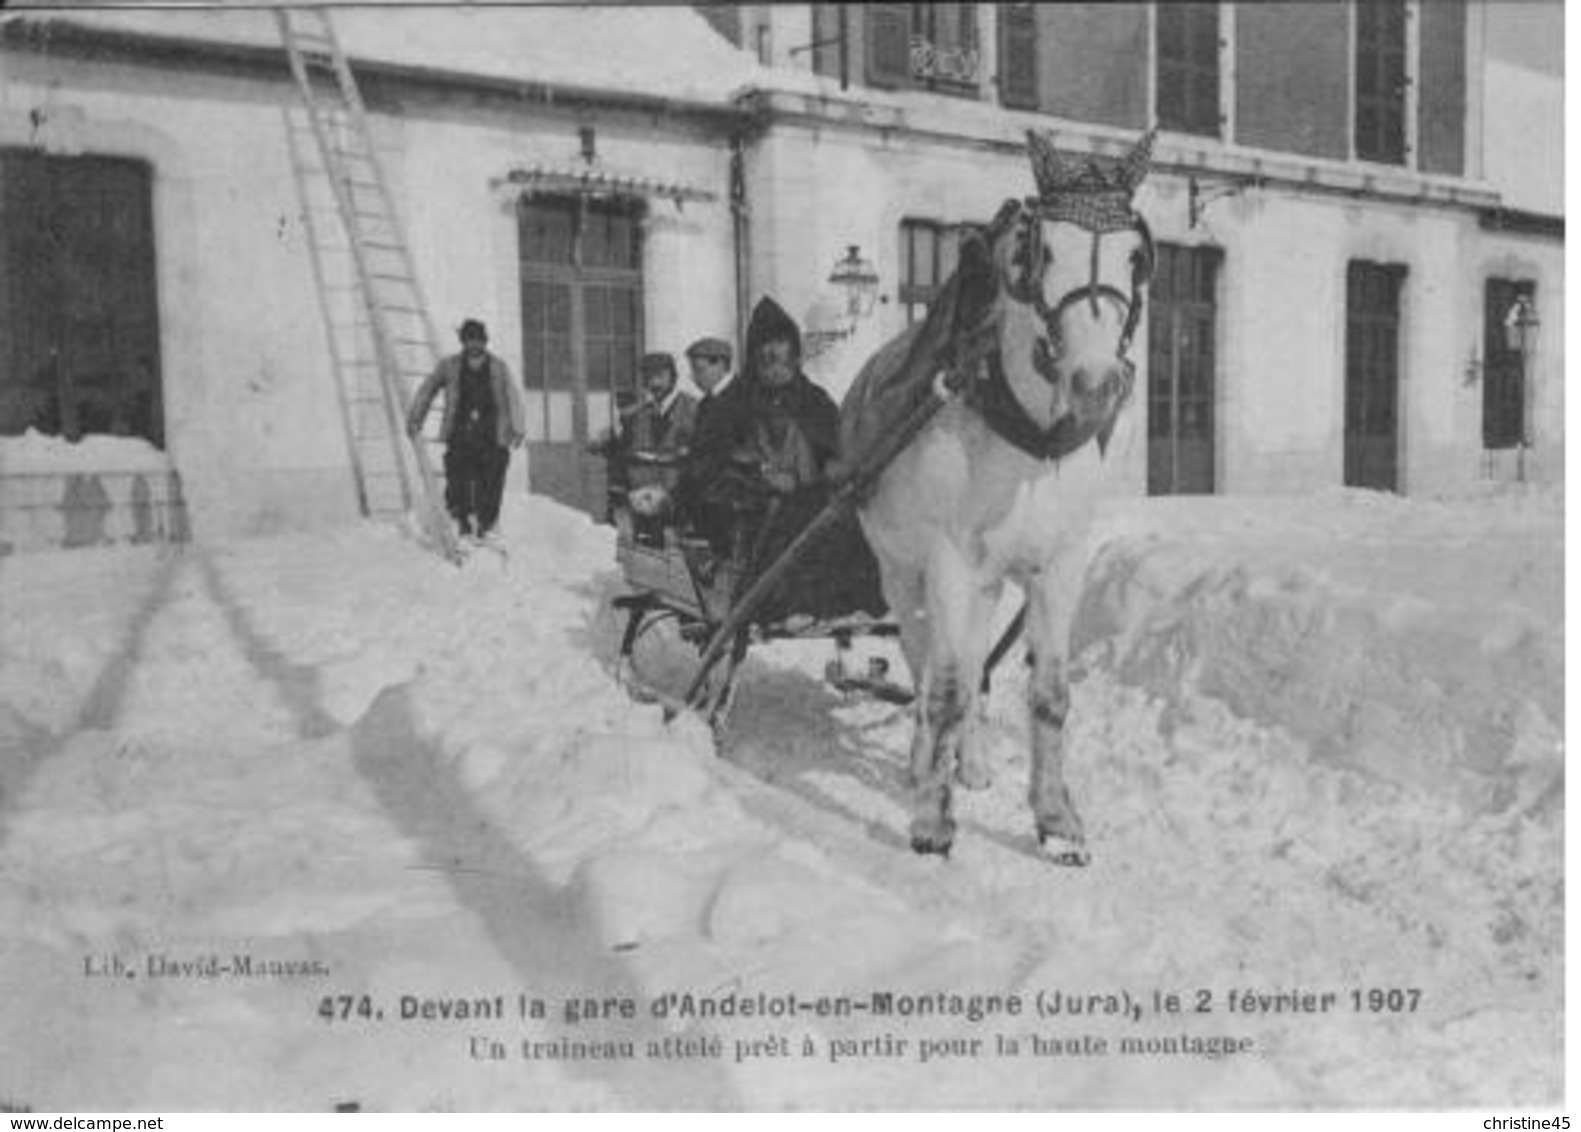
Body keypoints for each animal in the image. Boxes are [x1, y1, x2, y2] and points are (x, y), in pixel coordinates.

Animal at [847, 130, 1157, 860]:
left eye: (1135, 258)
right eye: (1040, 251)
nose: (1095, 384)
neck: (1028, 440)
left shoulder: (1058, 566)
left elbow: (1046, 692)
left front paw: (1055, 819)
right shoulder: (946, 565)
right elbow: (945, 688)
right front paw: (932, 822)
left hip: (985, 584)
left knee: (969, 663)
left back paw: (973, 762)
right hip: (901, 573)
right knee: (925, 665)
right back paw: (923, 764)